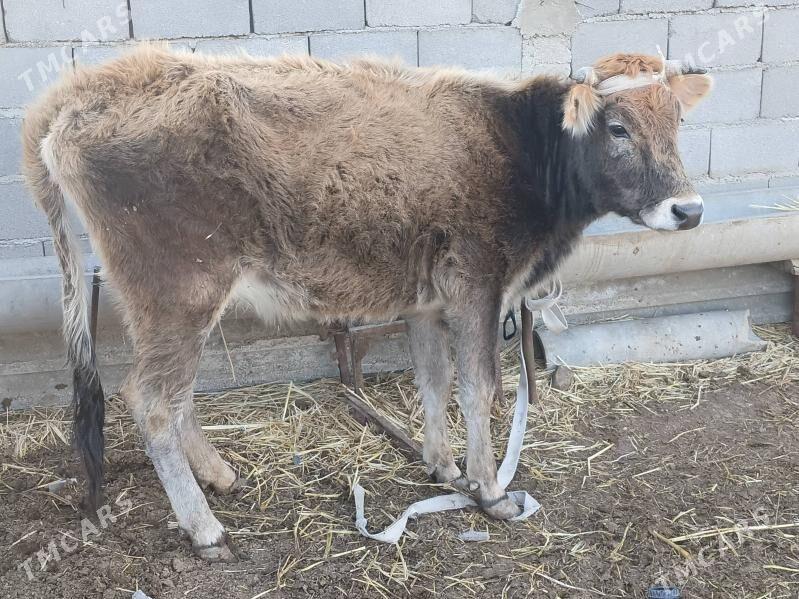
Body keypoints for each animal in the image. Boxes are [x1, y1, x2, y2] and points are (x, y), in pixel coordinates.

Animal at [22, 45, 712, 561]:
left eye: (678, 123)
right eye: (617, 128)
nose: (690, 210)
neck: (517, 144)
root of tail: (87, 86)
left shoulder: (427, 301)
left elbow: (434, 381)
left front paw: (443, 468)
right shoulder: (477, 284)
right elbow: (478, 388)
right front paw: (491, 492)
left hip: (168, 303)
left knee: (170, 394)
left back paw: (218, 476)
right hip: (178, 290)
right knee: (153, 400)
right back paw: (205, 528)